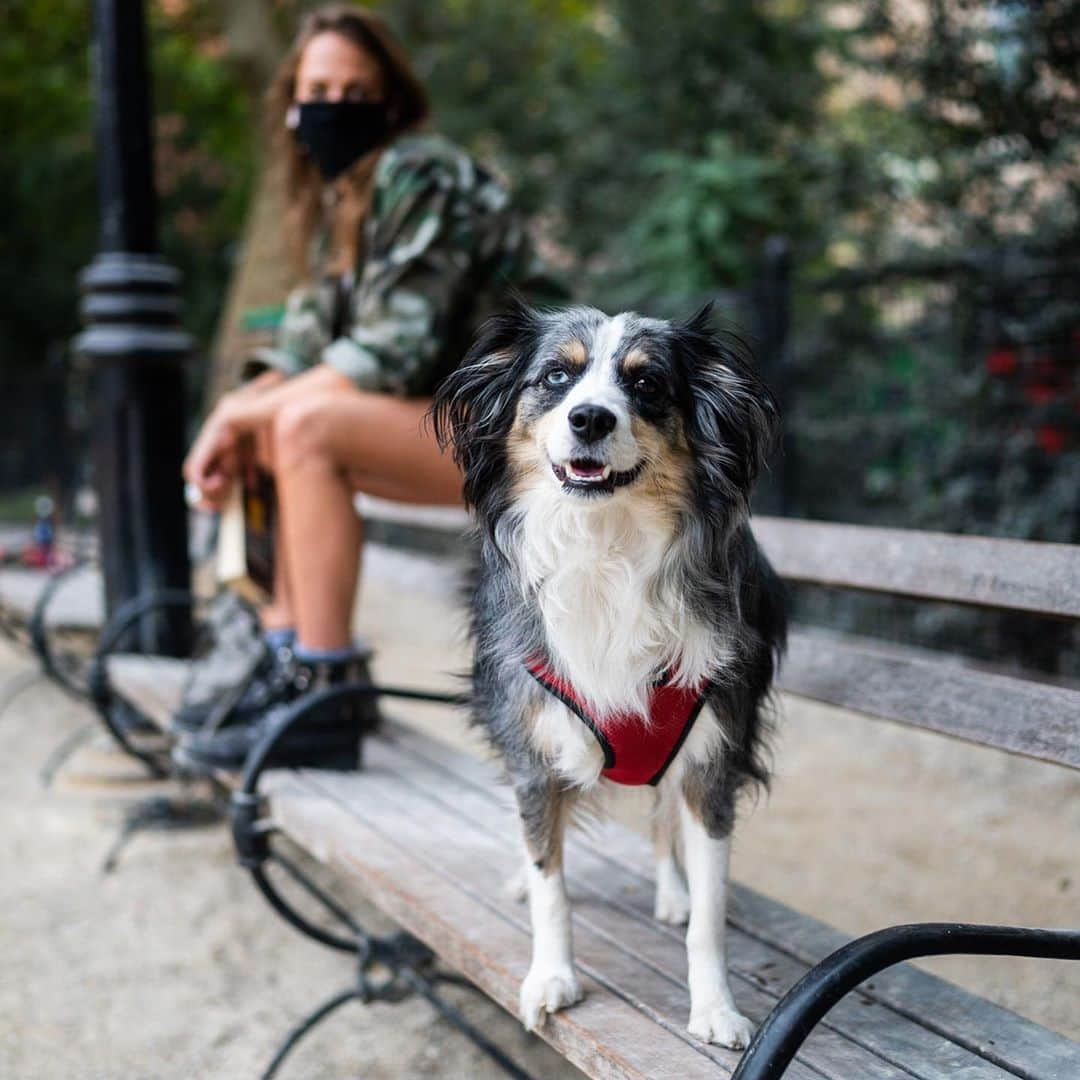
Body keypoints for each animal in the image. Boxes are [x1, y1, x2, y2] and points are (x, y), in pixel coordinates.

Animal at [429, 302, 786, 1045]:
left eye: (646, 383)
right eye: (555, 377)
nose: (589, 419)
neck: (606, 546)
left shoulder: (713, 757)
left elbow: (711, 909)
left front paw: (716, 1008)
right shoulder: (536, 750)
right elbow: (551, 885)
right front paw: (551, 977)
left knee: (663, 815)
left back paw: (673, 892)